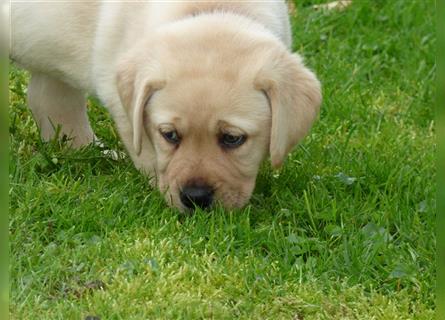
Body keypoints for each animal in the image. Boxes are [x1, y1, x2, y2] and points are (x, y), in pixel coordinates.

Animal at [10, 1, 320, 210]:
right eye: (169, 135)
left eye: (233, 138)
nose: (195, 199)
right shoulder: (123, 104)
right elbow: (147, 152)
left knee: (49, 100)